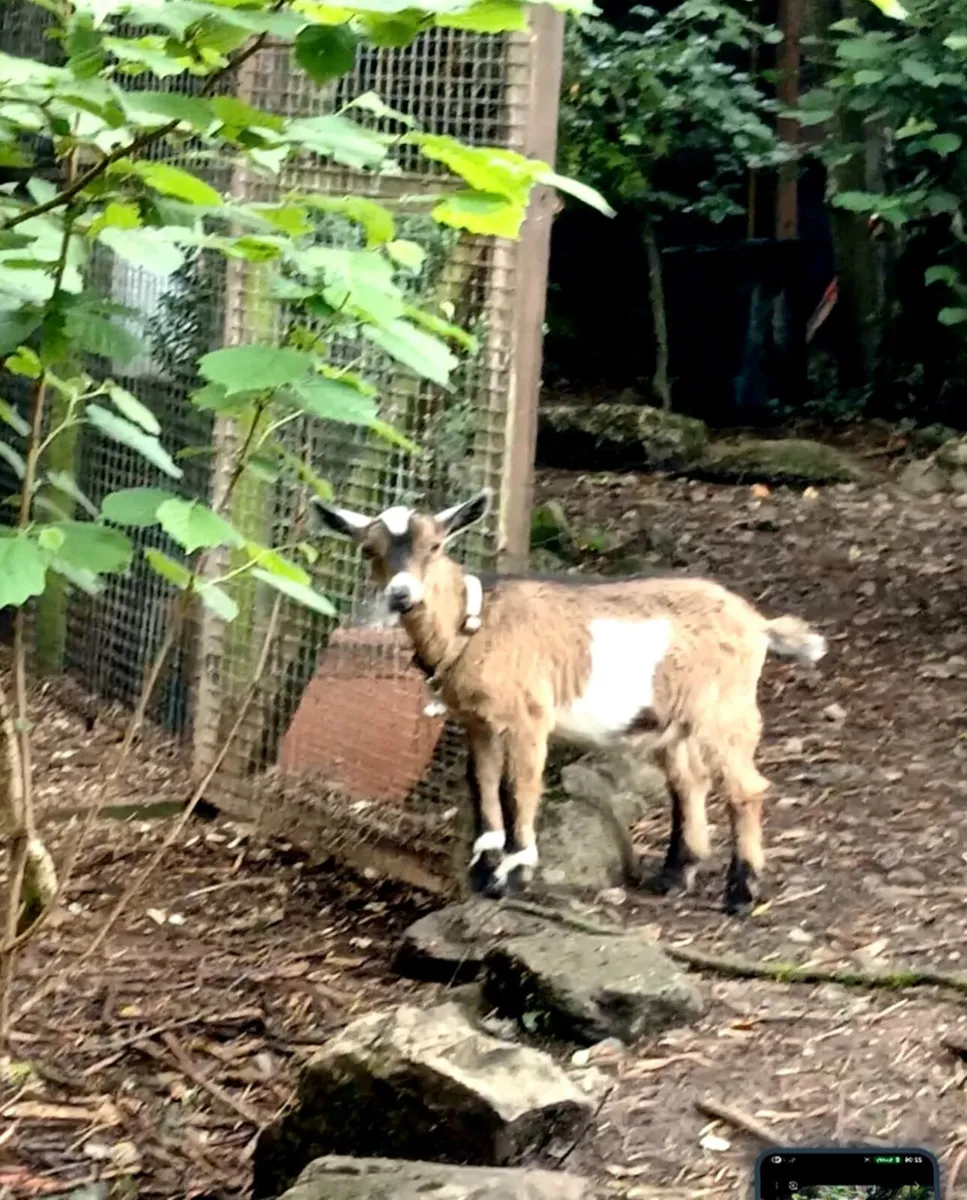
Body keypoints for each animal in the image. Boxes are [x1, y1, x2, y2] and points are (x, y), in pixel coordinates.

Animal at [314, 489, 828, 915]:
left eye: (435, 547)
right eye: (369, 550)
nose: (401, 594)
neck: (474, 624)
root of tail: (757, 623)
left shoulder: (528, 717)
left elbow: (519, 787)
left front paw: (514, 874)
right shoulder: (477, 721)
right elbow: (482, 785)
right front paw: (483, 872)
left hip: (725, 706)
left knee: (746, 788)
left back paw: (740, 894)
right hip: (674, 717)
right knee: (689, 780)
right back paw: (674, 875)